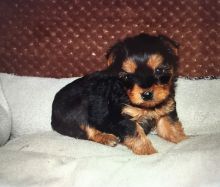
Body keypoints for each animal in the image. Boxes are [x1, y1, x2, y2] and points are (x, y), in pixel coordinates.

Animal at [51, 33, 186, 155]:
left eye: (159, 70)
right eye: (127, 76)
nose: (147, 94)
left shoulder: (165, 109)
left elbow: (172, 127)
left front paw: (183, 141)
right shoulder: (124, 117)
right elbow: (137, 135)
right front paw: (148, 152)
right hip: (76, 110)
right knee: (88, 129)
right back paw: (107, 138)